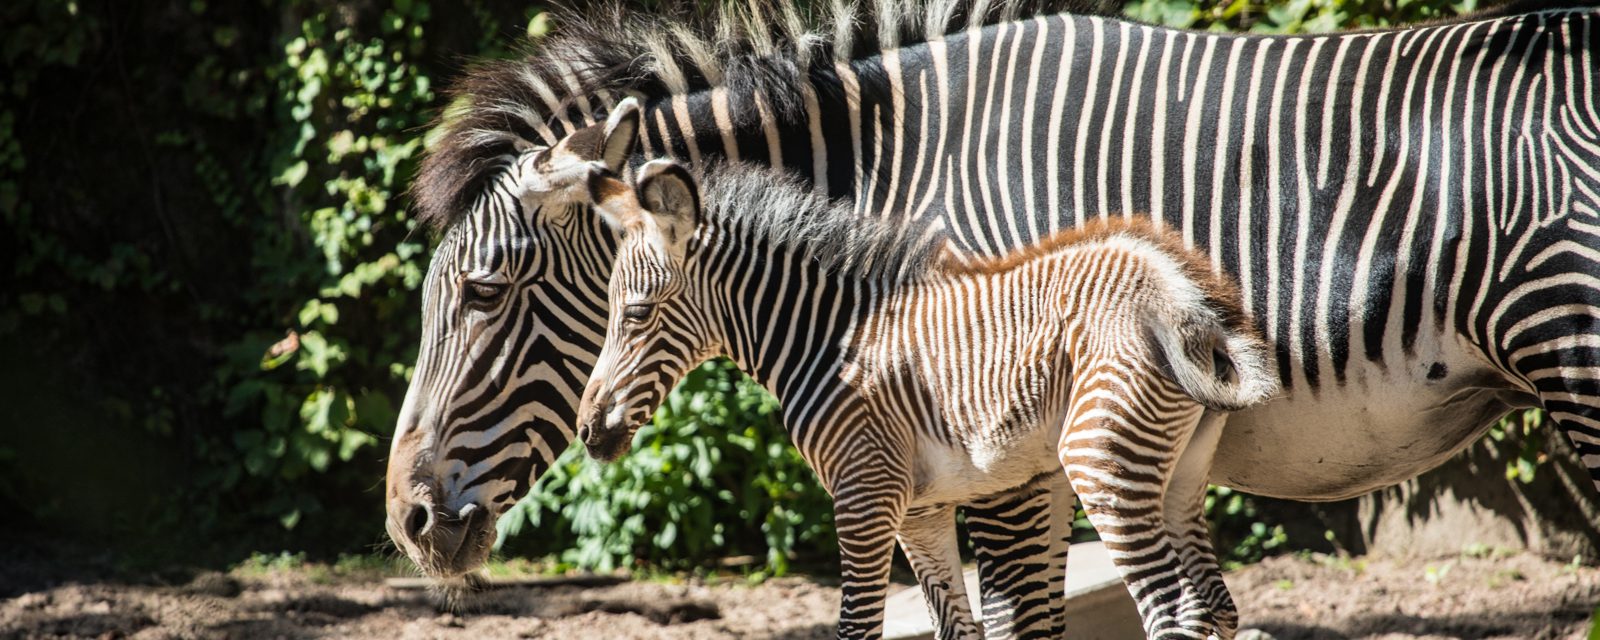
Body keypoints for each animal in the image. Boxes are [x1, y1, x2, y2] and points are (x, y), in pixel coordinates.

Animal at [569, 156, 1280, 640]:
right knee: (1214, 607)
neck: (826, 338)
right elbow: (956, 629)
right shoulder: (920, 510)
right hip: (1180, 474)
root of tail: (1179, 294)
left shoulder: (863, 496)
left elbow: (857, 628)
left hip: (1100, 461)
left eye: (634, 314)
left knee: (1171, 613)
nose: (587, 432)